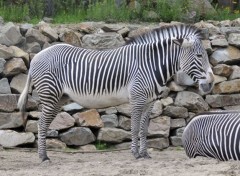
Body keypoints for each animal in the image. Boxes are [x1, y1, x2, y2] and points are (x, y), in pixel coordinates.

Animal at [18, 24, 214, 162]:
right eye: (199, 56)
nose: (211, 83)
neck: (151, 65)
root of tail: (37, 56)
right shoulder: (137, 99)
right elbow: (134, 127)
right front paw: (135, 154)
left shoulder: (149, 102)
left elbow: (144, 129)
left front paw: (145, 154)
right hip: (50, 95)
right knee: (41, 125)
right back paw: (44, 157)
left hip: (58, 98)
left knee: (43, 124)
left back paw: (43, 155)